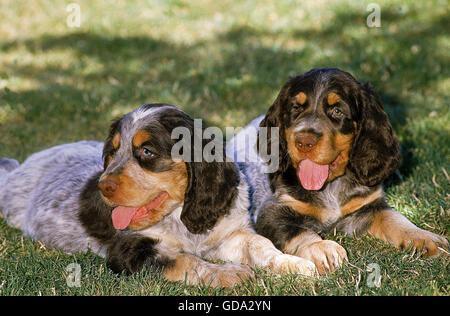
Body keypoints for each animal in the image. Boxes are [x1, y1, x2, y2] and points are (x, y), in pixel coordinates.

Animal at [0, 103, 316, 286]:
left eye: (147, 152)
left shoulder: (229, 234)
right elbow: (185, 260)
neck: (179, 214)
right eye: (113, 151)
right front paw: (229, 274)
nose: (103, 186)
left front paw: (294, 263)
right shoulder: (128, 251)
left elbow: (260, 244)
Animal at [230, 68, 448, 274]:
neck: (331, 185)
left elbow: (394, 218)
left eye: (337, 111)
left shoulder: (368, 206)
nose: (303, 142)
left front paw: (424, 237)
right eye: (296, 108)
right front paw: (321, 247)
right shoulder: (271, 212)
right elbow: (299, 231)